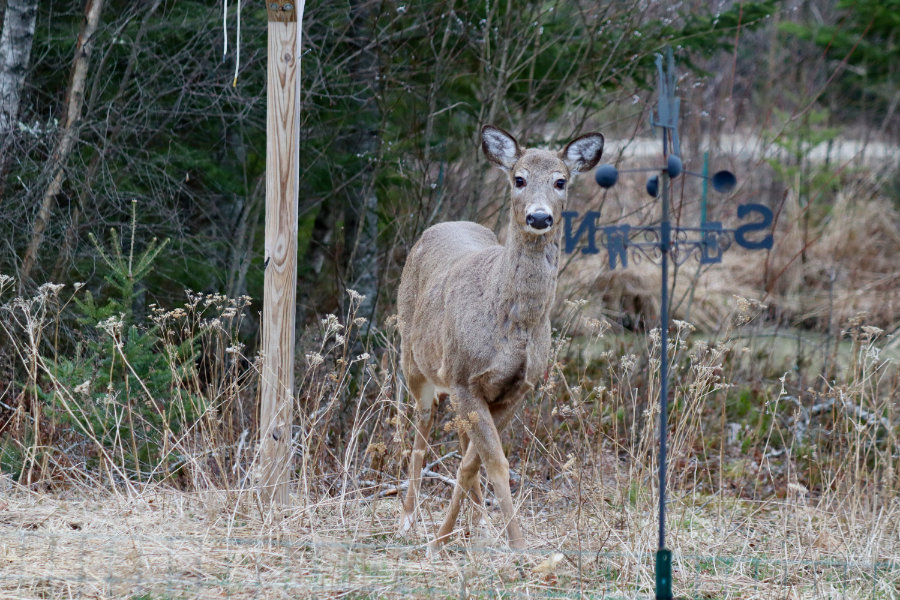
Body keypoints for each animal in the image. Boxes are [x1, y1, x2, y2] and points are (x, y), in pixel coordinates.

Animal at [400, 125, 604, 548]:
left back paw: (475, 523)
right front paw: (513, 545)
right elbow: (494, 462)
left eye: (561, 181)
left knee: (462, 444)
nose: (539, 216)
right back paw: (408, 519)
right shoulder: (464, 376)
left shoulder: (517, 388)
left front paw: (472, 534)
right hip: (414, 363)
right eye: (519, 179)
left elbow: (472, 464)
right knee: (420, 433)